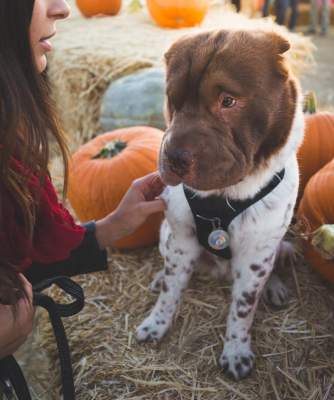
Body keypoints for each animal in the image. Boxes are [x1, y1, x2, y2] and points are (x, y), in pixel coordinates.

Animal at [134, 29, 304, 380]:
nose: (173, 158)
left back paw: (274, 288)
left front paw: (236, 351)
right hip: (165, 234)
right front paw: (157, 324)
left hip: (280, 247)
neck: (226, 195)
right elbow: (171, 290)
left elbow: (243, 308)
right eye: (172, 99)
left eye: (228, 101)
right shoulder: (181, 239)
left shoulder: (256, 253)